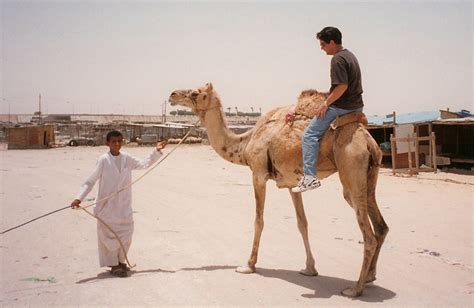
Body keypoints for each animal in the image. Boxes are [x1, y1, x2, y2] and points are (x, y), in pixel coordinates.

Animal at [168, 83, 386, 298]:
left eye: (195, 93)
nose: (172, 95)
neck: (245, 143)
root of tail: (369, 141)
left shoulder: (258, 174)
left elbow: (259, 221)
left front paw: (248, 265)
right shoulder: (292, 184)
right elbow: (302, 223)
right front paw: (310, 268)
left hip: (351, 168)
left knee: (368, 235)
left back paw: (355, 289)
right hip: (369, 177)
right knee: (381, 226)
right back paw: (370, 277)